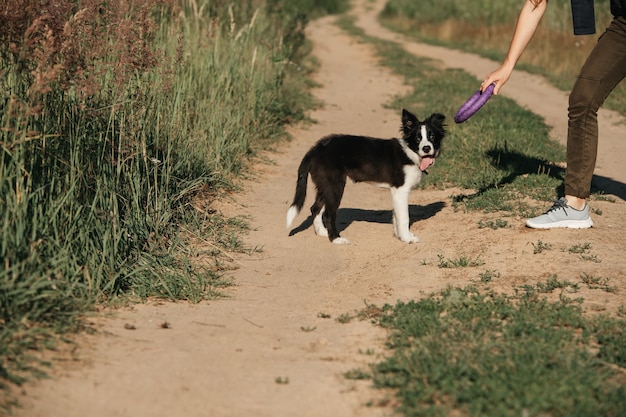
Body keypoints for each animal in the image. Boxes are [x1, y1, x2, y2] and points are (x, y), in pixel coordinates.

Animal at [282, 109, 444, 244]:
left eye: (432, 136)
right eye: (417, 138)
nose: (426, 148)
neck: (410, 153)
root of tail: (316, 149)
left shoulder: (395, 191)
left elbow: (396, 216)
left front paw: (399, 235)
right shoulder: (401, 190)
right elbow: (404, 217)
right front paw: (407, 238)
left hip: (325, 184)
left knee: (315, 208)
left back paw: (322, 232)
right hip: (335, 185)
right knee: (328, 214)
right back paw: (336, 239)